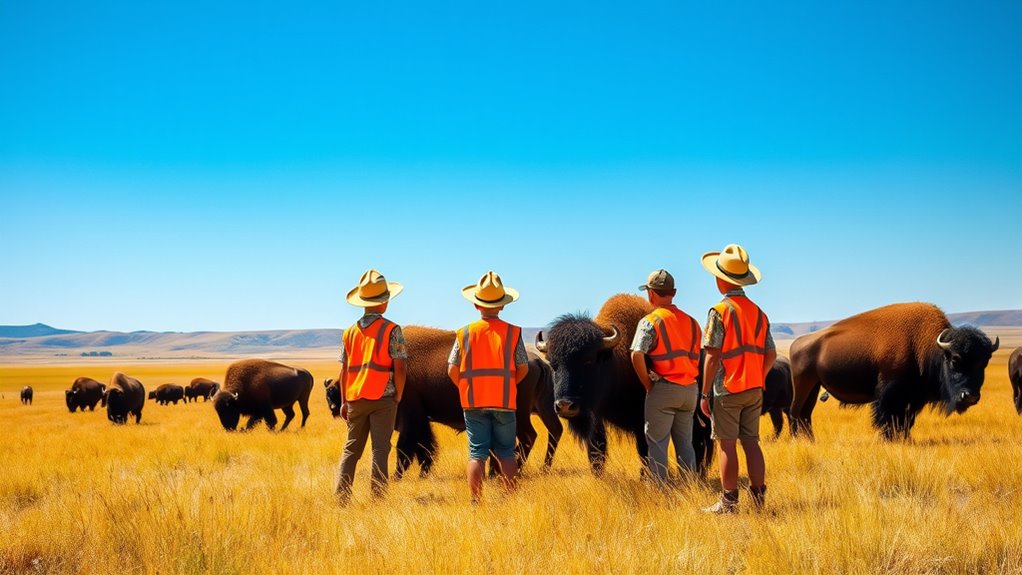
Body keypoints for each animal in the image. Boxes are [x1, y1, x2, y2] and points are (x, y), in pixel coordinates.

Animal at [324, 325, 563, 478]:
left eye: (335, 392)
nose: (336, 408)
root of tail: (536, 361)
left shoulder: (411, 417)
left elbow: (406, 448)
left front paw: (399, 476)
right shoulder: (421, 419)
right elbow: (425, 447)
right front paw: (423, 473)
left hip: (520, 414)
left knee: (528, 437)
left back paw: (511, 471)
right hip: (541, 408)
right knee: (545, 432)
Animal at [536, 294, 713, 476]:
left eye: (589, 361)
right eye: (553, 364)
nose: (565, 405)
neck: (615, 361)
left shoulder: (642, 421)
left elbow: (644, 450)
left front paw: (645, 476)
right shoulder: (596, 418)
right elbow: (596, 449)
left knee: (699, 443)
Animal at [790, 303, 999, 439]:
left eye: (985, 362)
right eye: (955, 359)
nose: (969, 396)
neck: (924, 345)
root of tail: (797, 343)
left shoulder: (914, 398)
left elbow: (906, 421)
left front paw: (905, 439)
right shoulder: (889, 394)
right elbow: (888, 418)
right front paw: (889, 439)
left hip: (814, 385)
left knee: (805, 414)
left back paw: (810, 440)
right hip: (803, 384)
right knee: (795, 411)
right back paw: (796, 439)